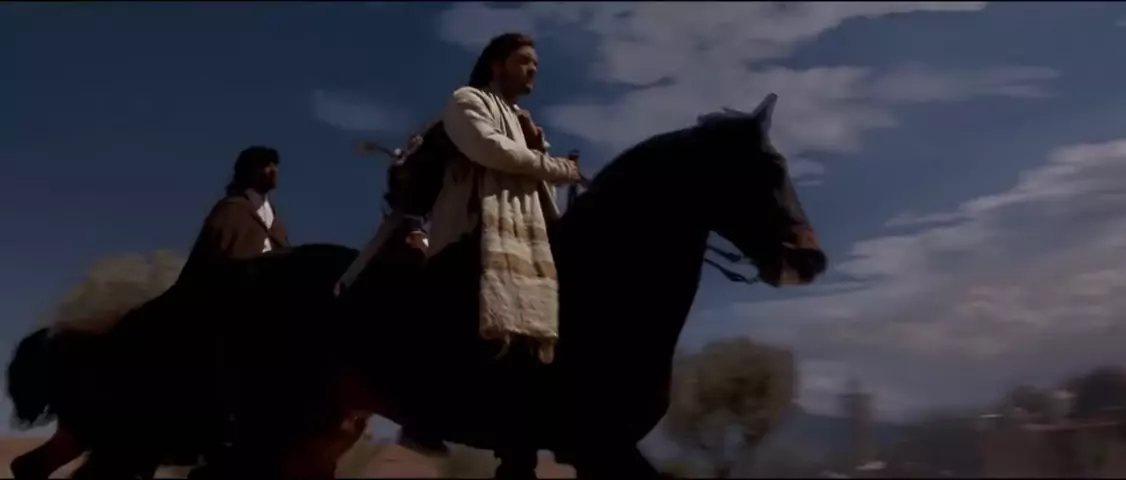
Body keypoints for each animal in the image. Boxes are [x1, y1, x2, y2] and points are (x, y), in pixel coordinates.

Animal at [6, 94, 827, 478]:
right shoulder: (595, 445)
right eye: (763, 170)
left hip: (294, 436)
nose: (809, 259)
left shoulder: (541, 448)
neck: (604, 291)